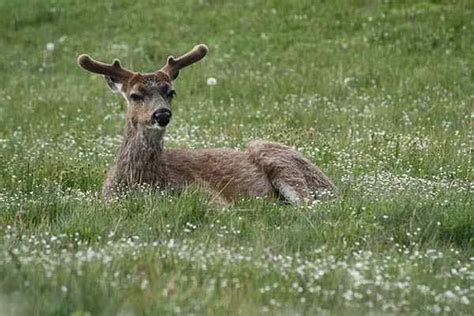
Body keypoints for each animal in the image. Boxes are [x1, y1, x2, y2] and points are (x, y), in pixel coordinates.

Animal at [78, 44, 336, 206]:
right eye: (135, 95)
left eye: (171, 92)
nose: (162, 114)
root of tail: (334, 187)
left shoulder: (206, 194)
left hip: (276, 157)